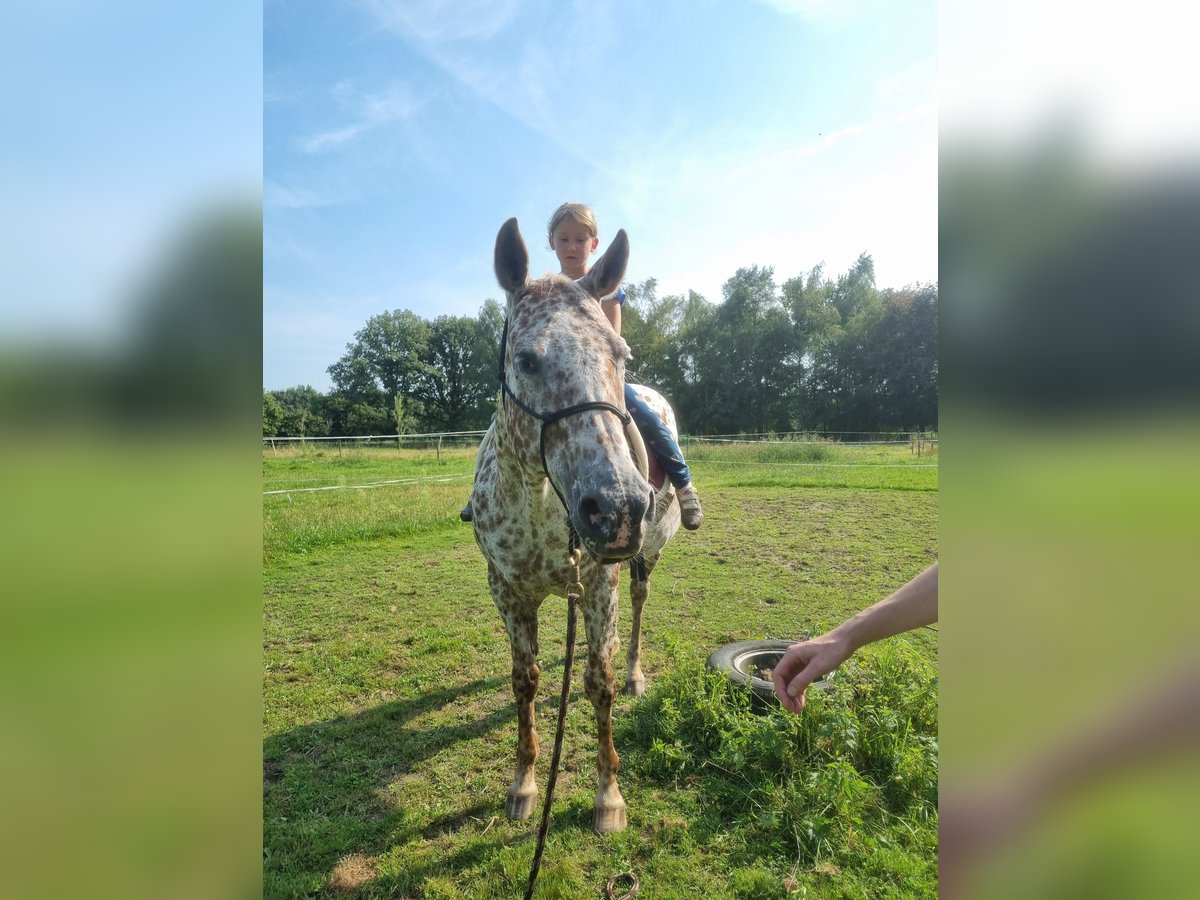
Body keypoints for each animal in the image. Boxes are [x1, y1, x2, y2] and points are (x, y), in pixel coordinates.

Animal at [470, 218, 686, 840]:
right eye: (526, 360)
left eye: (620, 354)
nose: (617, 508)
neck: (543, 506)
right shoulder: (507, 591)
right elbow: (525, 680)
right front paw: (523, 784)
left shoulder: (597, 586)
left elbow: (598, 682)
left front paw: (608, 796)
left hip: (643, 559)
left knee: (638, 605)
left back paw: (637, 672)